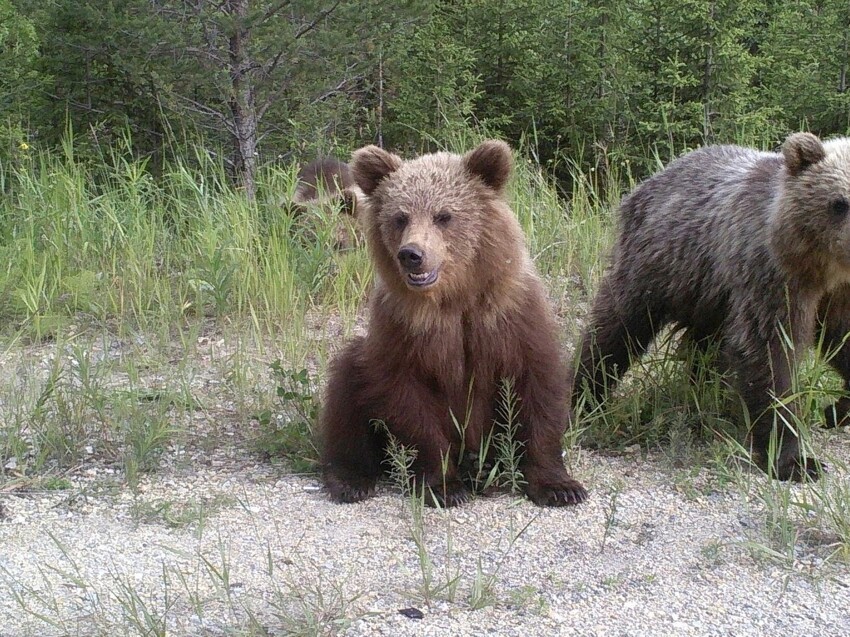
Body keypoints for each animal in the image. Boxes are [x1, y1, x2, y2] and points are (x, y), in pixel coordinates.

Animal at [318, 140, 584, 506]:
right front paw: (443, 485)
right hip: (365, 358)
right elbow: (409, 401)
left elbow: (537, 386)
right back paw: (350, 478)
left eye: (444, 215)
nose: (411, 254)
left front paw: (559, 486)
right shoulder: (401, 329)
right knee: (347, 387)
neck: (454, 296)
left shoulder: (511, 316)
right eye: (400, 217)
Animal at [568, 132, 850, 480]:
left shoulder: (838, 294)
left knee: (703, 347)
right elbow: (769, 354)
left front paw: (836, 410)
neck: (826, 269)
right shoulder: (771, 276)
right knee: (616, 329)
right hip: (658, 266)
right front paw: (795, 460)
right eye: (839, 203)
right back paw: (583, 396)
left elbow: (842, 340)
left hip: (708, 293)